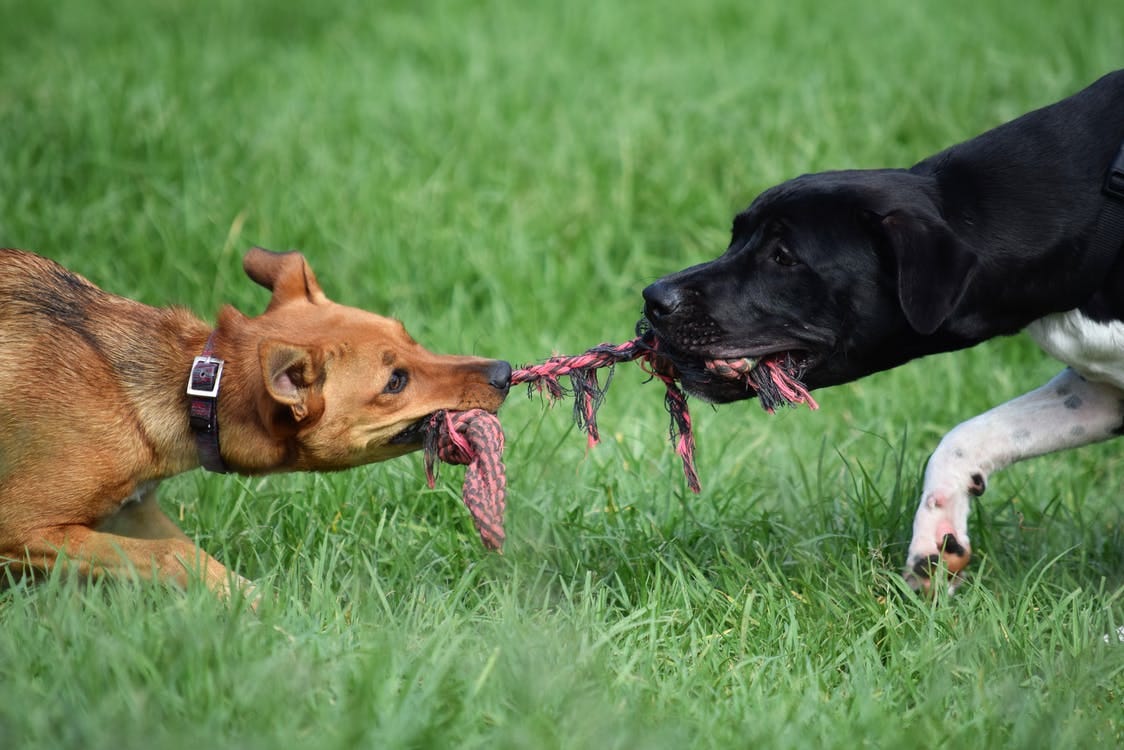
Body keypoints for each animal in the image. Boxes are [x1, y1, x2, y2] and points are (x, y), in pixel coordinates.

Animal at [1, 249, 514, 602]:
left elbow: (173, 546)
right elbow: (174, 554)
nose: (505, 372)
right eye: (395, 381)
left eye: (410, 339)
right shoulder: (22, 527)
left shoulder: (134, 509)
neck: (188, 389)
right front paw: (258, 604)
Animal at [642, 68, 1124, 593]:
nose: (653, 298)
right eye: (736, 237)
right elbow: (965, 437)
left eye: (783, 256)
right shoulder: (1099, 391)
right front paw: (936, 542)